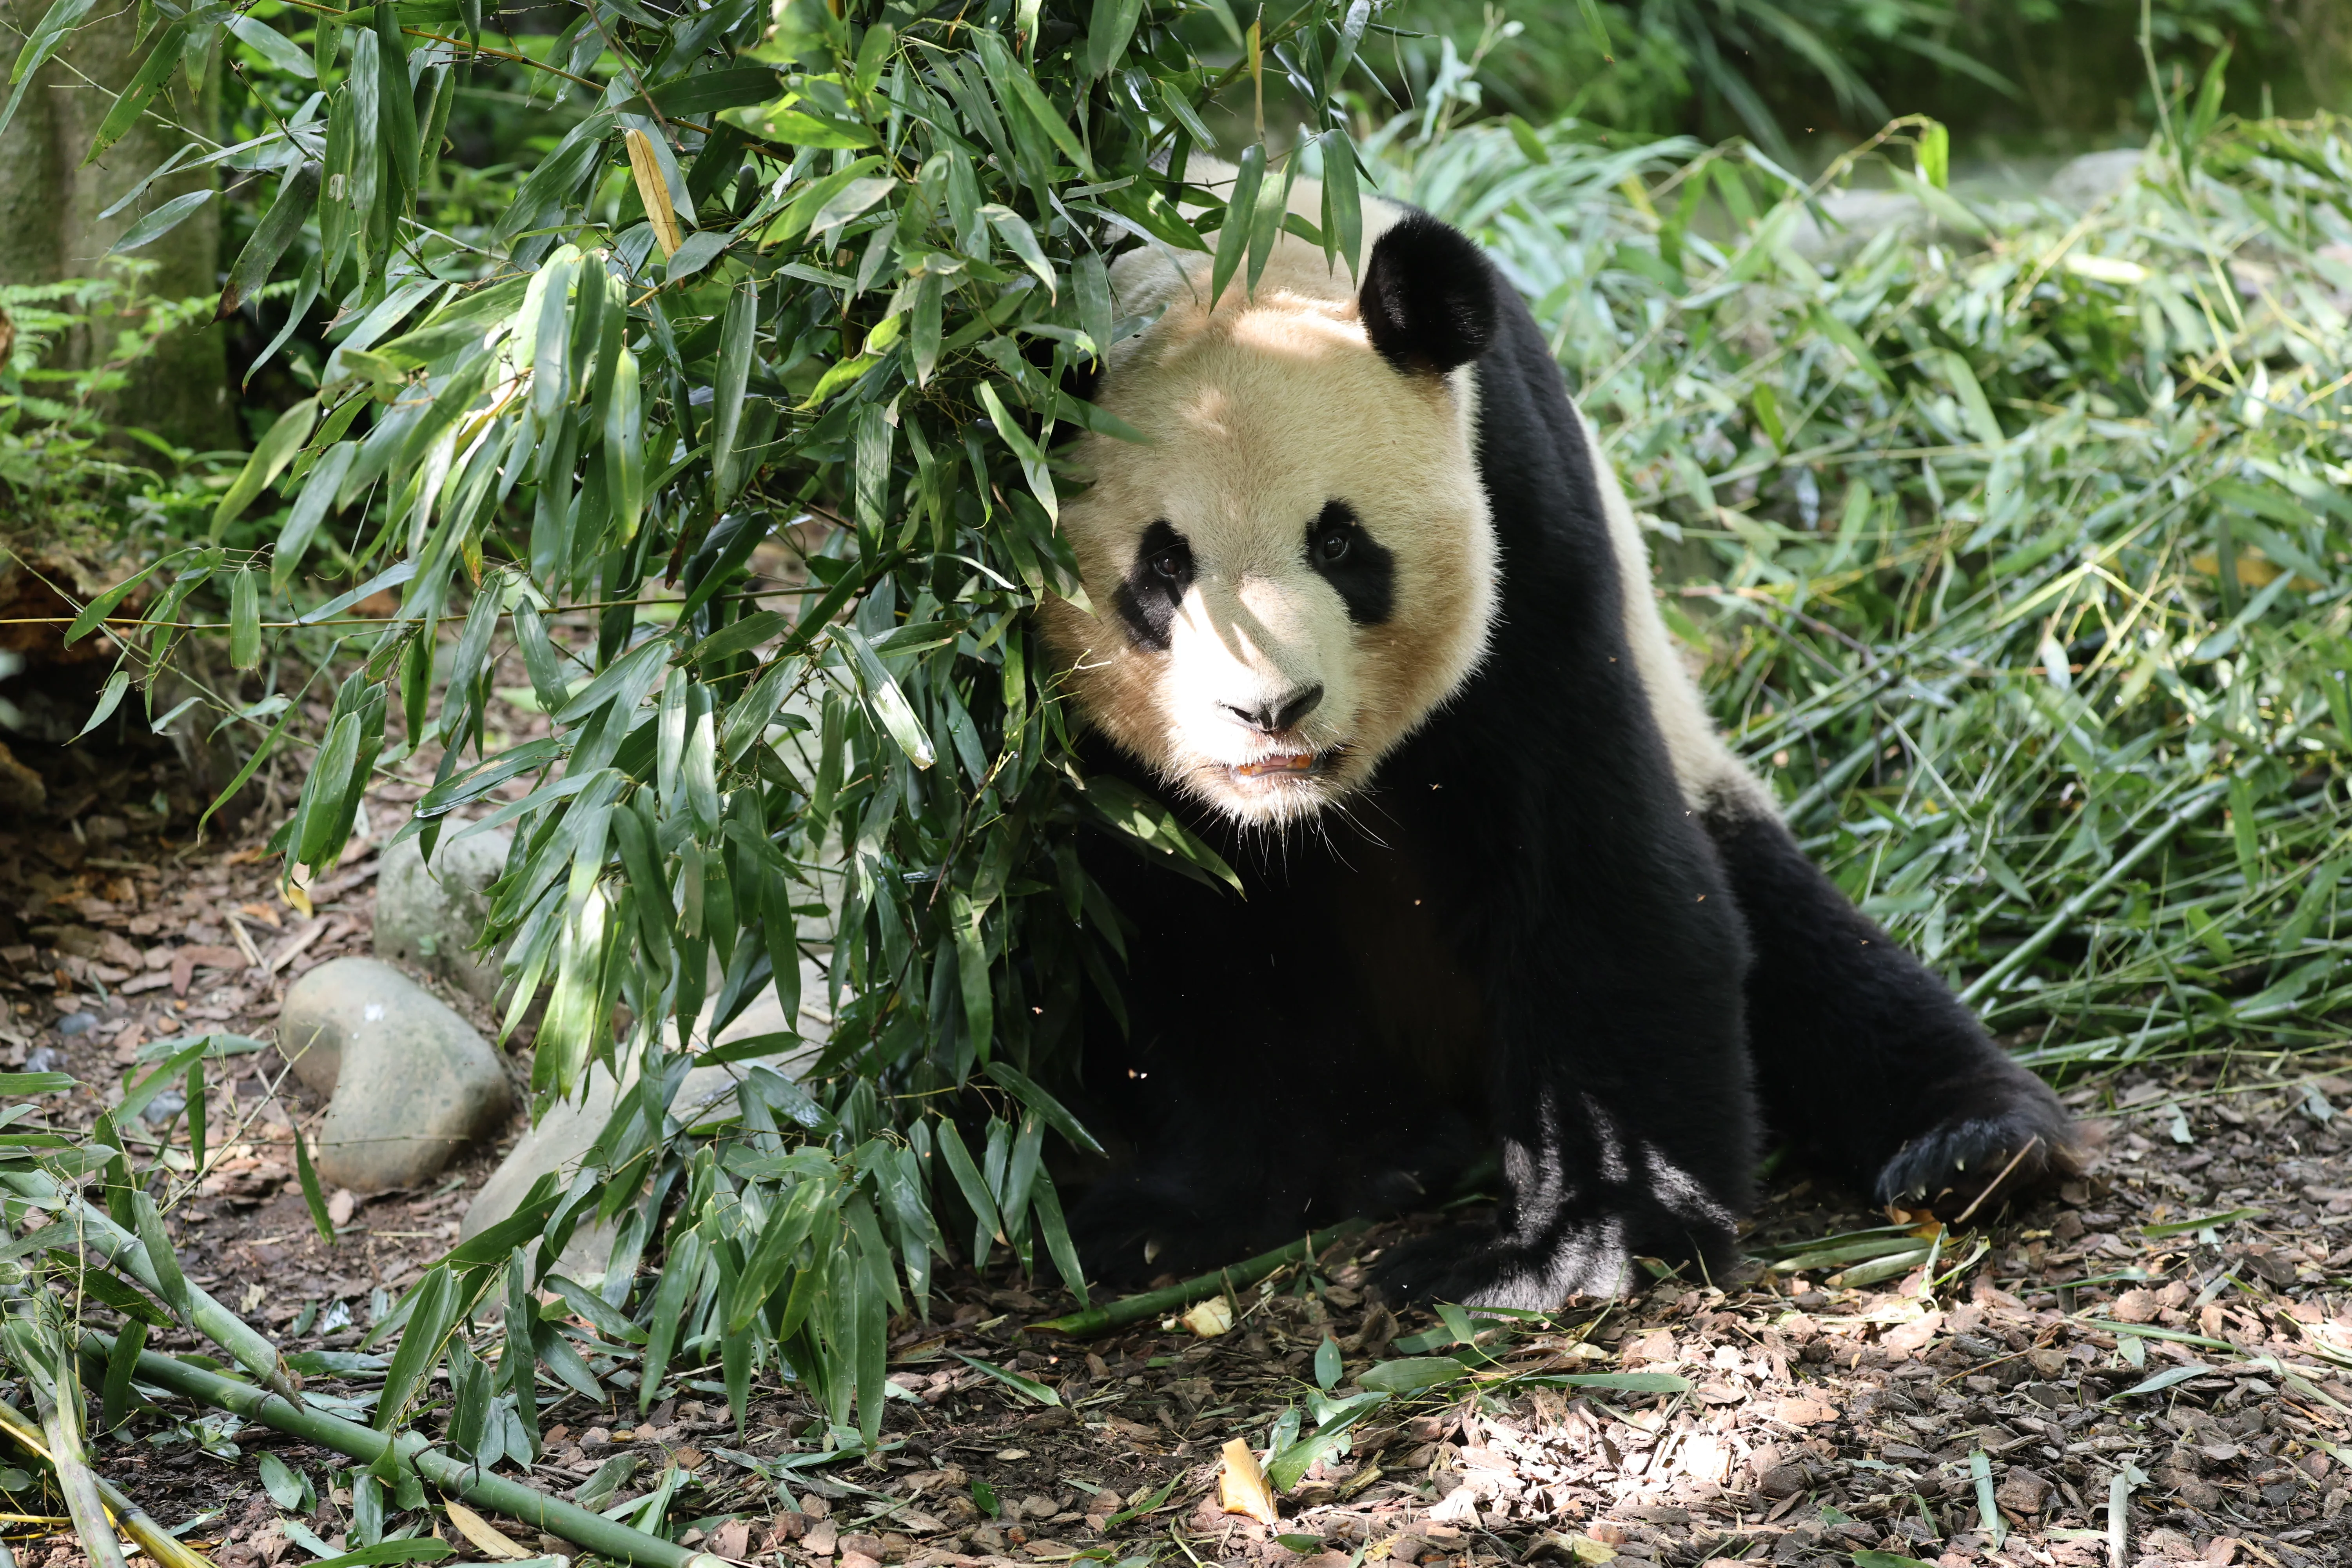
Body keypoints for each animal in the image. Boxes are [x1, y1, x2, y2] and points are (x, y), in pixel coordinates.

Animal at [1035, 171, 2073, 1308]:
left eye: (1341, 543)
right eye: (1164, 568)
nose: (1274, 712)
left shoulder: (1523, 521)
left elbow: (1589, 865)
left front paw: (1568, 1242)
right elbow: (1179, 932)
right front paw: (1176, 1220)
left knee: (1800, 939)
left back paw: (1972, 1145)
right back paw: (1394, 1151)